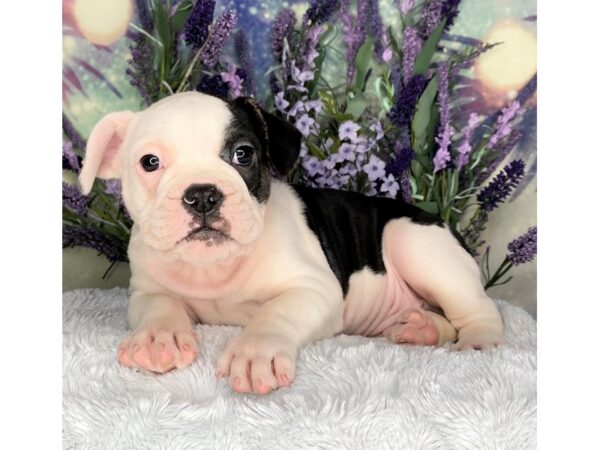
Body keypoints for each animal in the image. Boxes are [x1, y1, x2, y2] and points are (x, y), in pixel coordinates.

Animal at [78, 91, 502, 394]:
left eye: (243, 154)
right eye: (149, 162)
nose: (202, 194)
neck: (215, 266)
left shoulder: (313, 290)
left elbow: (274, 313)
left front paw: (255, 352)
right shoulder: (146, 290)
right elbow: (159, 308)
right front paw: (156, 338)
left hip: (411, 241)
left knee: (478, 310)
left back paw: (477, 342)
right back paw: (421, 329)